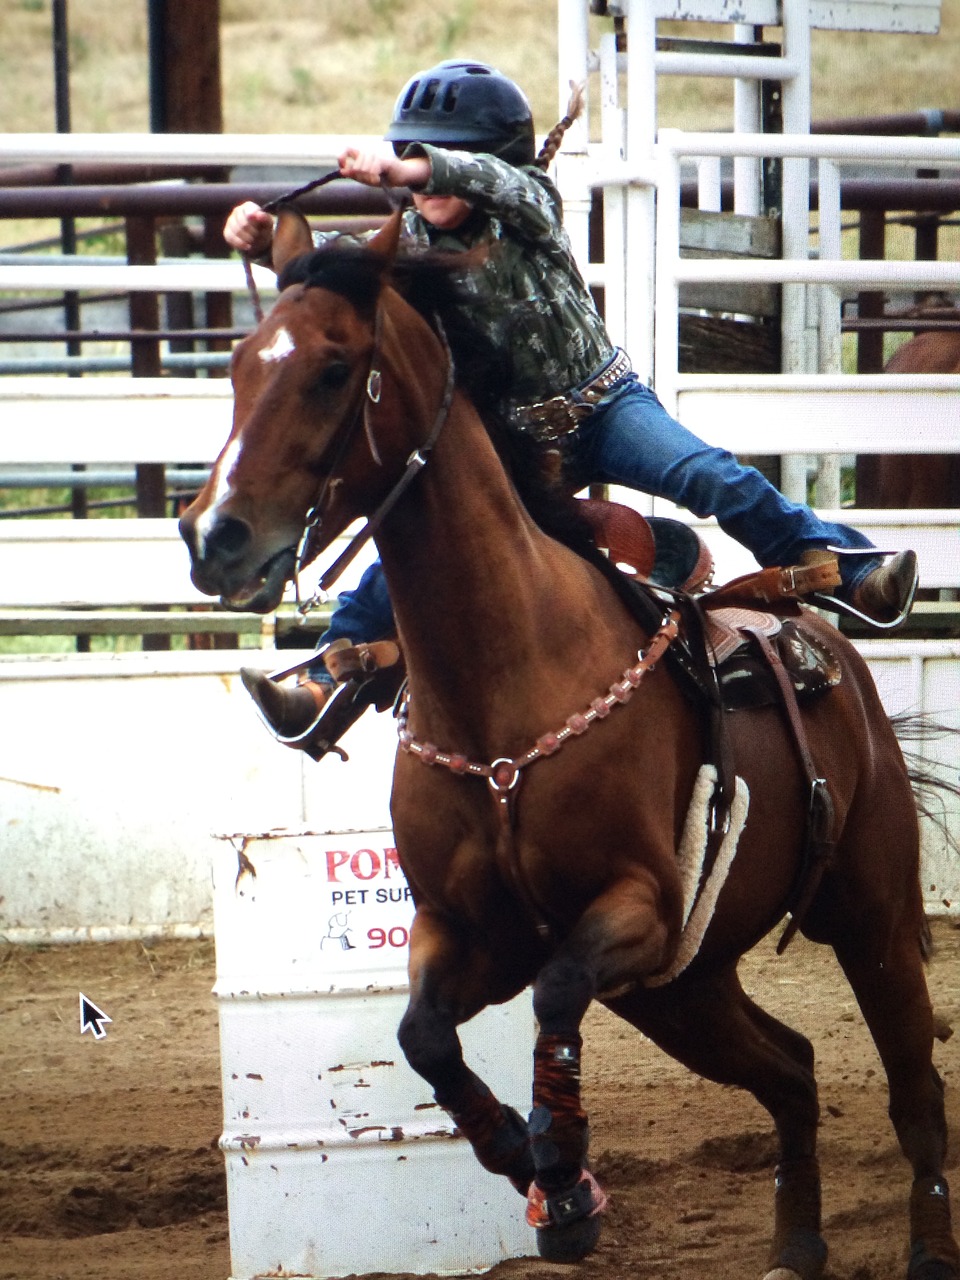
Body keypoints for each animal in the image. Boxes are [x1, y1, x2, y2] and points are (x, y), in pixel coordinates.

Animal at [176, 212, 957, 1280]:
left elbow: (553, 997)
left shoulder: (636, 906)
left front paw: (564, 1174)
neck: (508, 684)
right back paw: (795, 1244)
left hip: (868, 915)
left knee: (915, 1089)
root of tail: (823, 647)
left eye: (334, 370)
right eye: (240, 364)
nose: (212, 534)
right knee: (792, 1070)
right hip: (683, 990)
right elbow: (423, 1035)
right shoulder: (466, 929)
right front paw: (525, 1159)